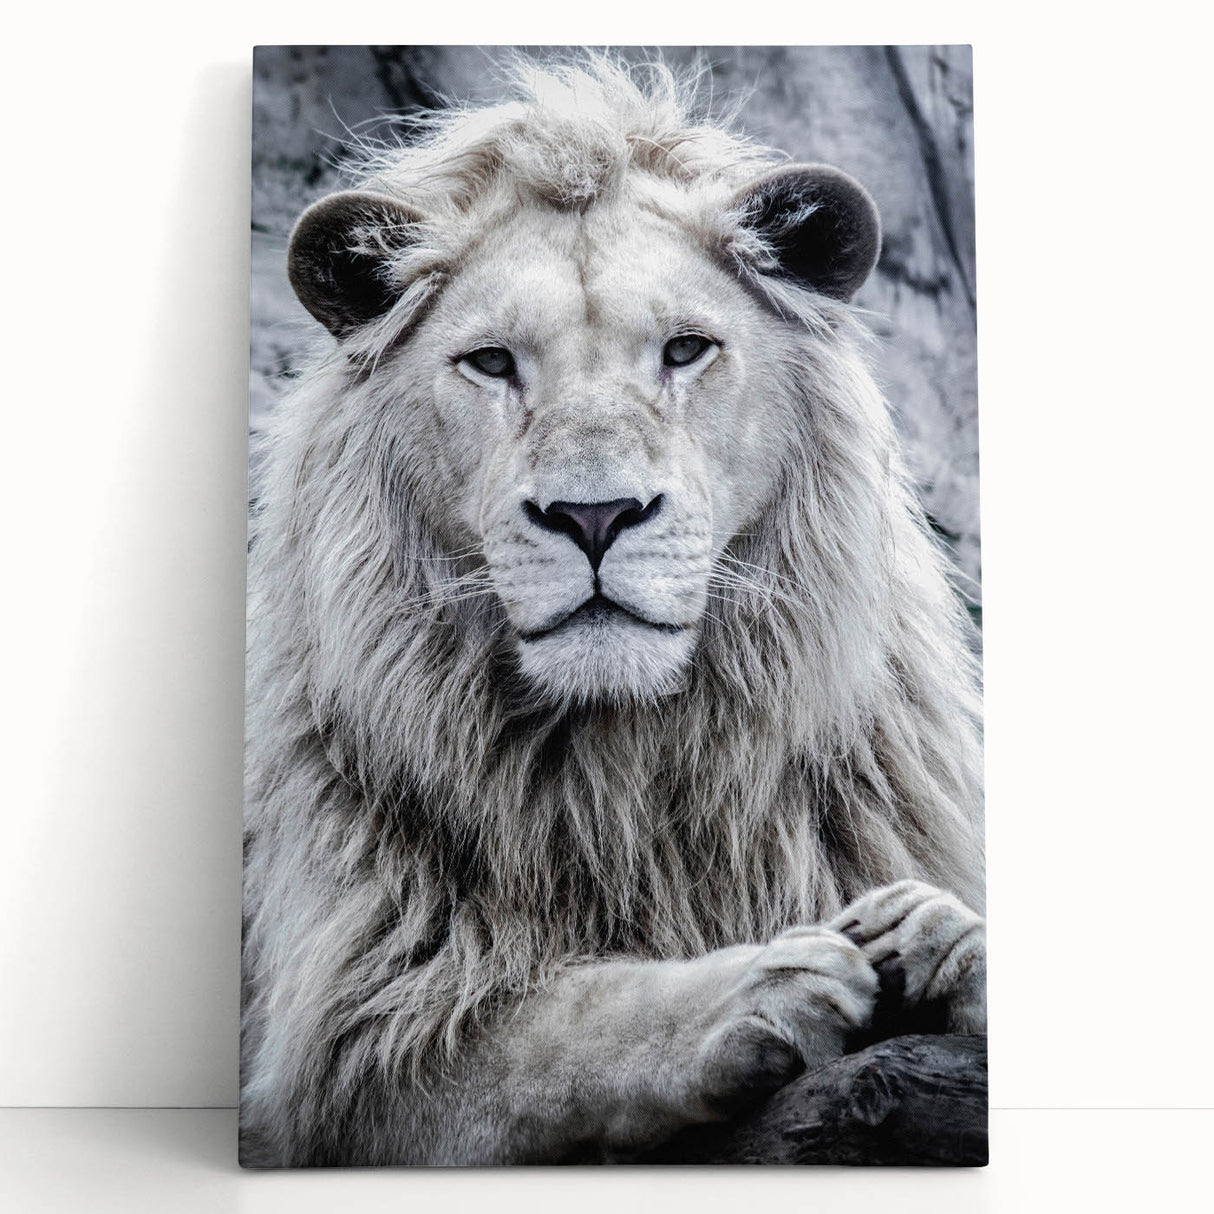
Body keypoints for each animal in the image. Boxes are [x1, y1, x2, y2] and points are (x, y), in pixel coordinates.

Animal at [241, 58, 986, 1166]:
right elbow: (558, 1027)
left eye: (684, 350)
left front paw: (945, 937)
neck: (626, 769)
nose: (594, 516)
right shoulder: (355, 1044)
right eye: (491, 362)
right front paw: (760, 984)